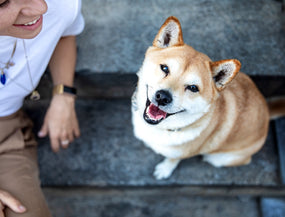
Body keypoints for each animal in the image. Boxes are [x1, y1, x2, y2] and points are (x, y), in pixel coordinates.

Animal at [131, 16, 284, 180]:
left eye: (193, 88)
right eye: (165, 68)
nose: (162, 97)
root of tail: (267, 111)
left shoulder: (181, 153)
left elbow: (173, 159)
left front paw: (165, 169)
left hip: (218, 158)